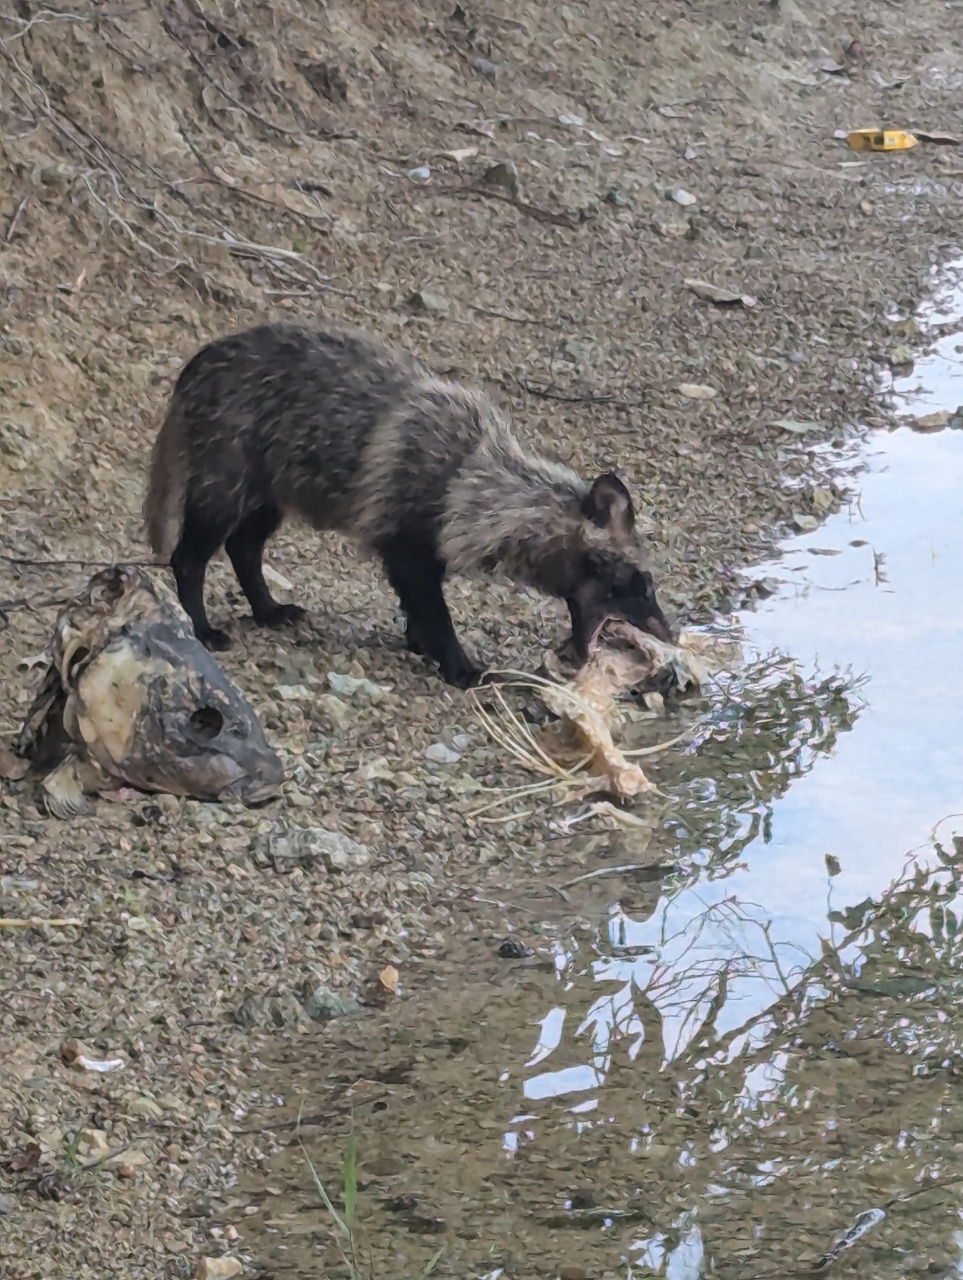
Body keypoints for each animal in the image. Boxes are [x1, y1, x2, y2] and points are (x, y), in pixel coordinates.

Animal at [144, 330, 671, 691]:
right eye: (640, 582)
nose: (669, 632)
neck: (475, 477)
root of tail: (197, 367)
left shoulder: (425, 545)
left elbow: (420, 604)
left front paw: (422, 641)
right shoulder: (407, 539)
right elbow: (432, 606)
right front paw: (456, 661)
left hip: (271, 487)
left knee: (245, 546)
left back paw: (266, 607)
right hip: (226, 474)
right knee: (191, 555)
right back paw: (199, 624)